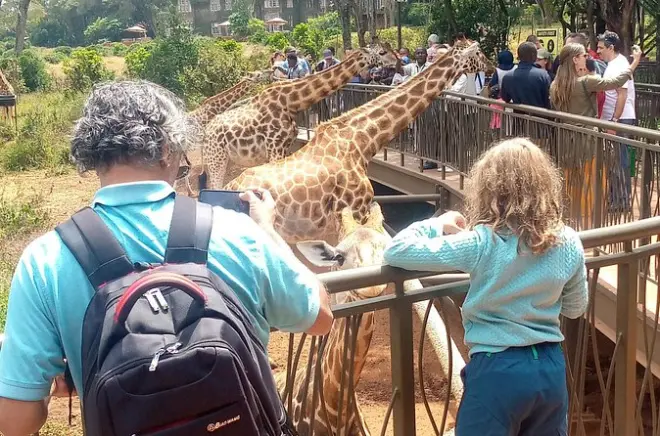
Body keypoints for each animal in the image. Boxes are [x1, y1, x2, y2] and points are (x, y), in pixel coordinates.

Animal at [202, 44, 400, 188]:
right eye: (382, 52)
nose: (396, 62)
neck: (291, 102)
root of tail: (207, 132)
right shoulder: (275, 147)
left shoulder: (285, 147)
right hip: (216, 157)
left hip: (226, 159)